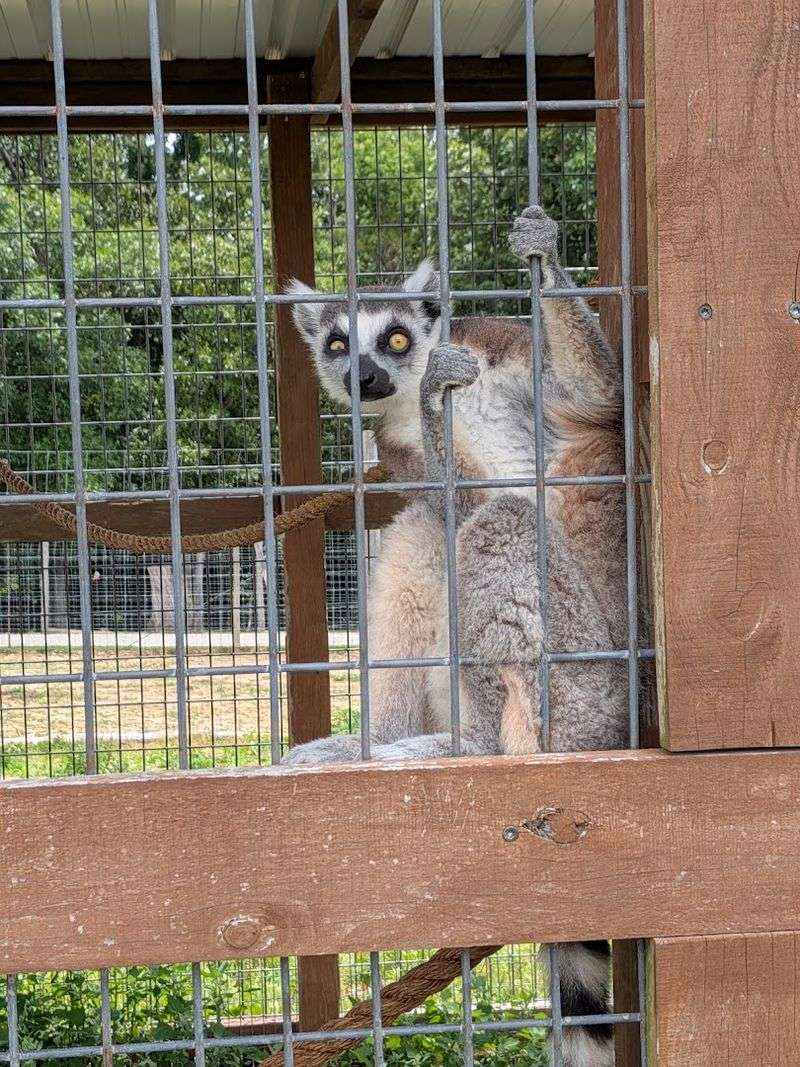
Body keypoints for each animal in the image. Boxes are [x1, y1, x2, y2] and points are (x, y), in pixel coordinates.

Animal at [283, 205, 635, 1067]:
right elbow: (444, 495)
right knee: (424, 536)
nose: (364, 379)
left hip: (574, 680)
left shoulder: (496, 348)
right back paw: (372, 744)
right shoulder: (395, 450)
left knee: (498, 521)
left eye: (395, 337)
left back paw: (461, 744)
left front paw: (540, 248)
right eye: (337, 343)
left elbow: (595, 397)